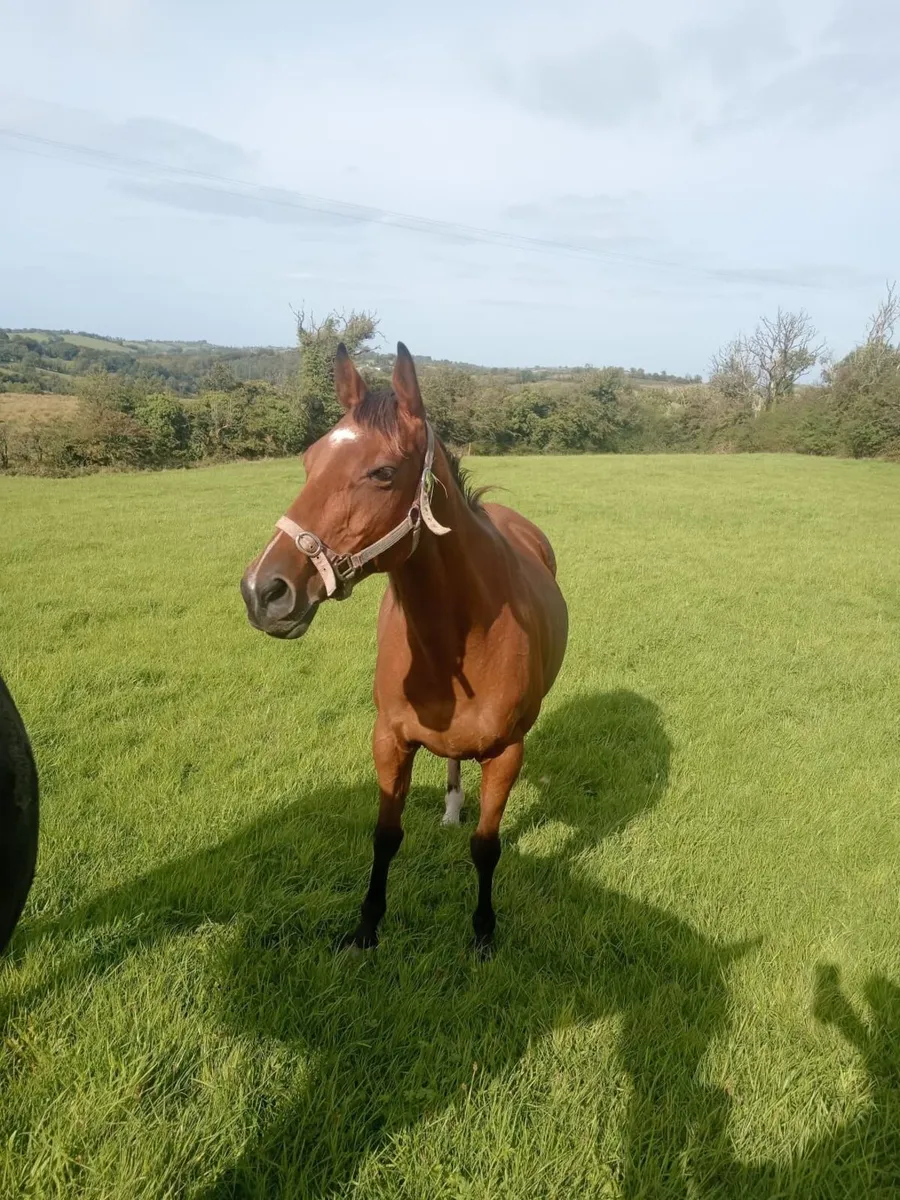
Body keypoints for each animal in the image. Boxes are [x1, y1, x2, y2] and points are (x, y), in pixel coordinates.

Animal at [240, 342, 568, 953]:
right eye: (308, 460)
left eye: (383, 472)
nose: (263, 591)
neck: (461, 636)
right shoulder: (389, 740)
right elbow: (386, 834)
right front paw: (366, 929)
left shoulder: (508, 752)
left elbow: (487, 846)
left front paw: (483, 935)